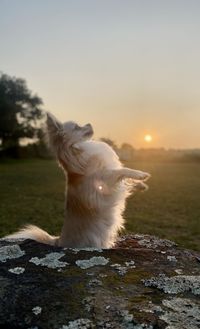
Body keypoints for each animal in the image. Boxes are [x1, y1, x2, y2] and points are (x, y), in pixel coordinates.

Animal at [6, 113, 150, 246]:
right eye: (77, 127)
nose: (89, 123)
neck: (79, 149)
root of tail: (58, 241)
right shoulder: (104, 179)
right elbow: (122, 171)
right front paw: (141, 175)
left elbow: (125, 180)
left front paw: (141, 186)